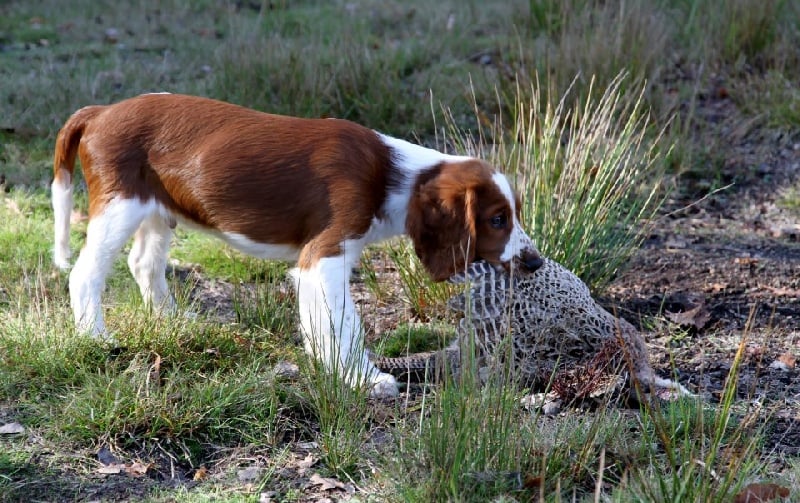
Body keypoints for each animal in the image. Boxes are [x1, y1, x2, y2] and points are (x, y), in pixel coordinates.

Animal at [51, 93, 543, 397]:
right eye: (497, 219)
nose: (535, 262)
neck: (394, 174)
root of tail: (100, 112)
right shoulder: (324, 256)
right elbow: (343, 324)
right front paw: (362, 379)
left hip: (157, 210)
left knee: (143, 263)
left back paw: (173, 320)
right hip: (120, 205)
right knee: (86, 273)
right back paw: (95, 337)